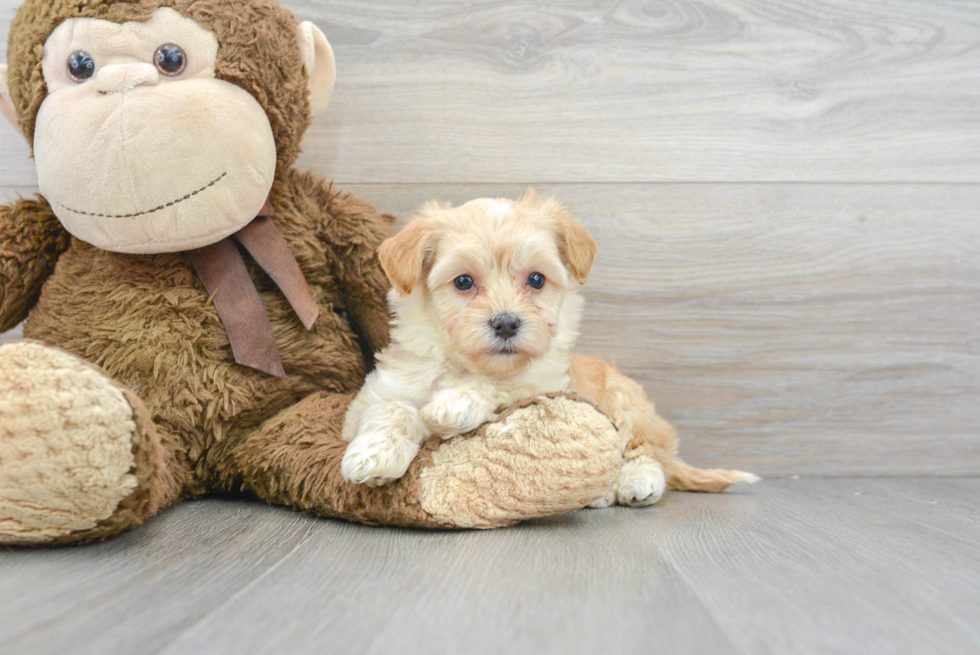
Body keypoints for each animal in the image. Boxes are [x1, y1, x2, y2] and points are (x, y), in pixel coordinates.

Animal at [340, 191, 760, 508]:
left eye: (536, 279)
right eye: (463, 282)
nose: (506, 323)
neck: (468, 365)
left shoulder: (545, 387)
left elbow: (503, 388)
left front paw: (456, 403)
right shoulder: (372, 399)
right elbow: (392, 408)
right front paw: (373, 455)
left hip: (627, 404)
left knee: (648, 452)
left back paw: (635, 482)